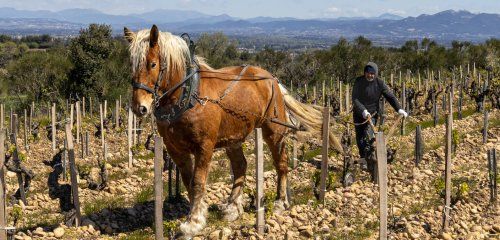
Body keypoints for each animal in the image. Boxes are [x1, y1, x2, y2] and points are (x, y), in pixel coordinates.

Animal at [123, 24, 340, 238]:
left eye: (152, 64)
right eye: (132, 64)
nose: (139, 107)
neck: (188, 96)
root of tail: (272, 79)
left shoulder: (204, 146)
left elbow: (198, 182)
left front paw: (192, 223)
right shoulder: (175, 149)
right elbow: (187, 181)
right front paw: (199, 213)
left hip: (274, 131)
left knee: (281, 164)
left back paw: (280, 201)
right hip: (233, 138)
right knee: (240, 166)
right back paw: (233, 206)